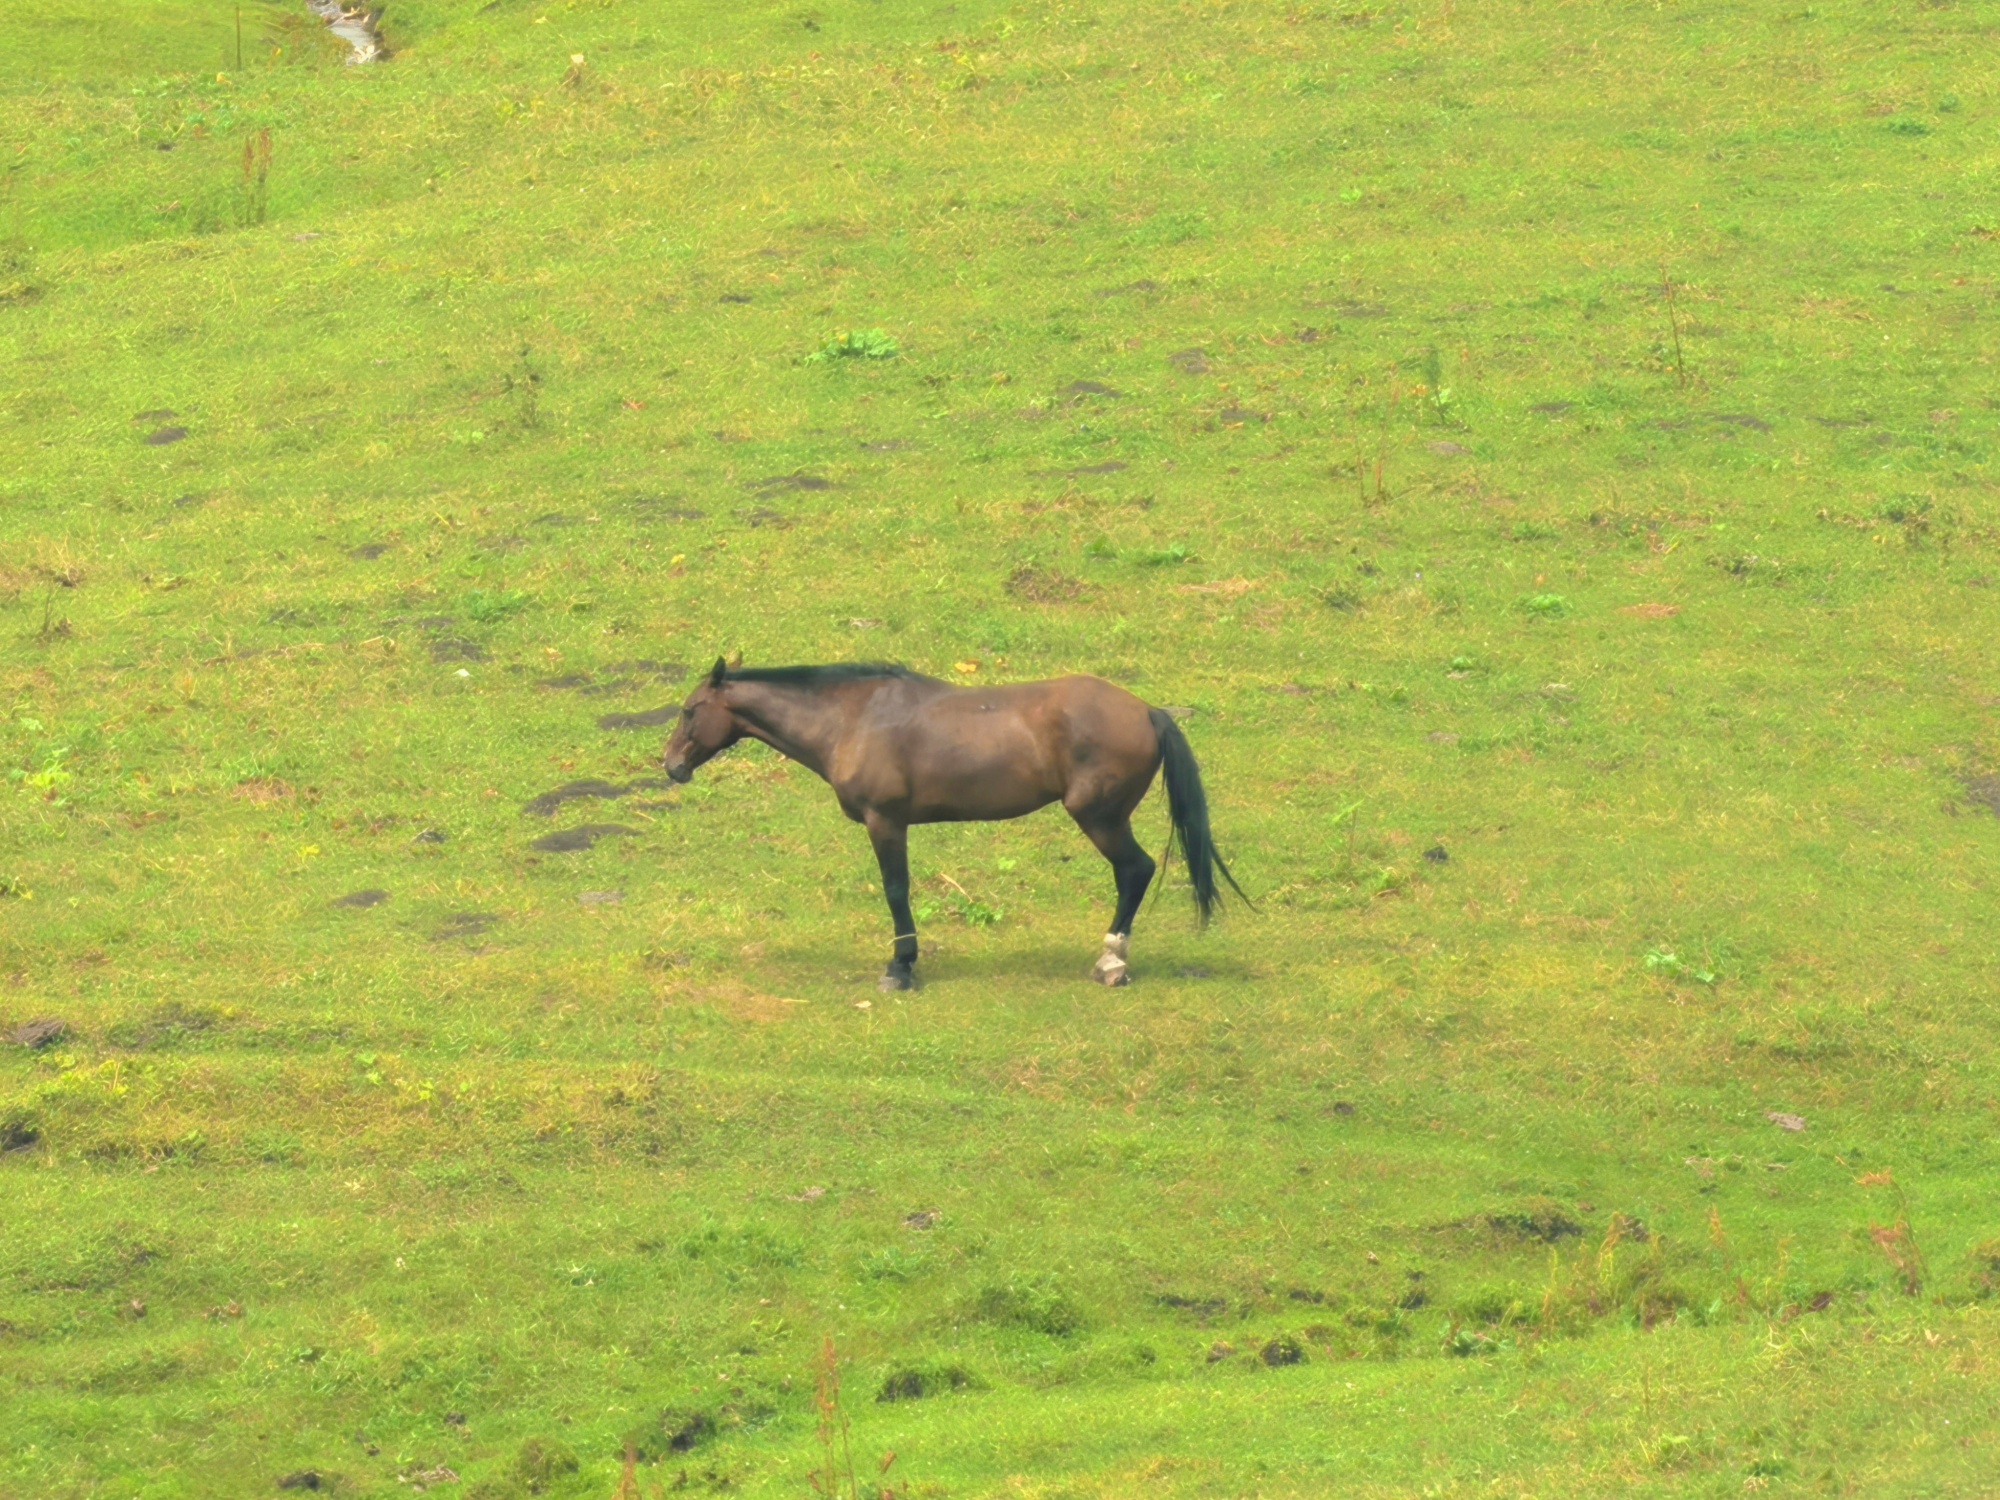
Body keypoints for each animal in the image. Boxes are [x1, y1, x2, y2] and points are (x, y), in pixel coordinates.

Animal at [661, 659, 1244, 990]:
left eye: (690, 710)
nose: (670, 765)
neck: (852, 718)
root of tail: (1147, 711)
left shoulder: (886, 822)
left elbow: (896, 890)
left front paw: (902, 967)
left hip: (1100, 819)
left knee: (1135, 871)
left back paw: (1111, 963)